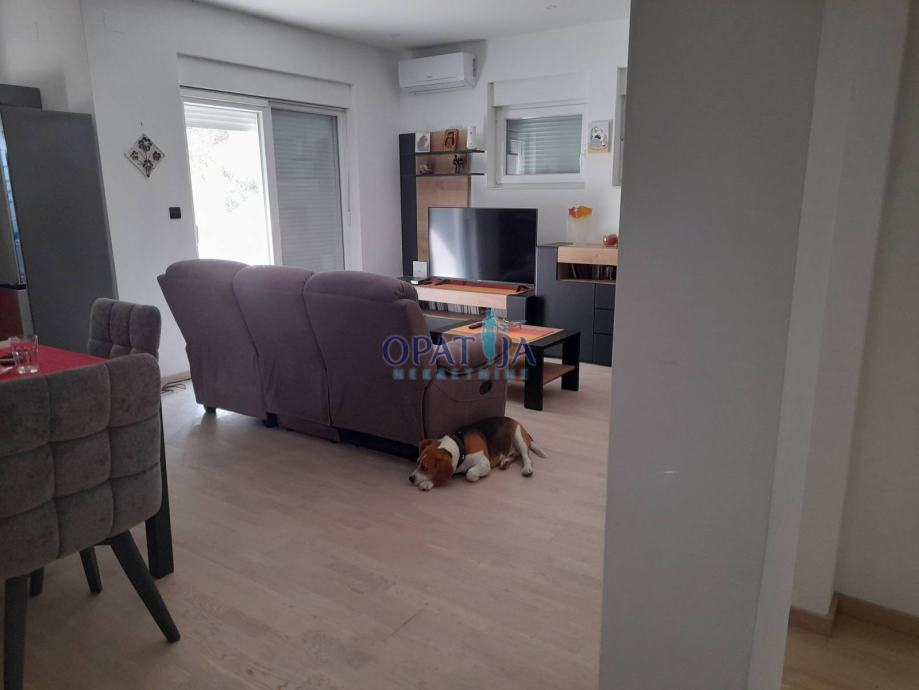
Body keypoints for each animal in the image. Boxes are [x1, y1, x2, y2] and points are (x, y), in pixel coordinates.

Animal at [410, 416, 547, 491]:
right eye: (417, 463)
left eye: (425, 468)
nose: (411, 478)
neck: (461, 447)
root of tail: (516, 421)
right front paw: (429, 482)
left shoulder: (484, 463)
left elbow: (470, 473)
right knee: (515, 454)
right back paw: (505, 462)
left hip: (518, 437)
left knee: (525, 456)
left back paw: (527, 469)